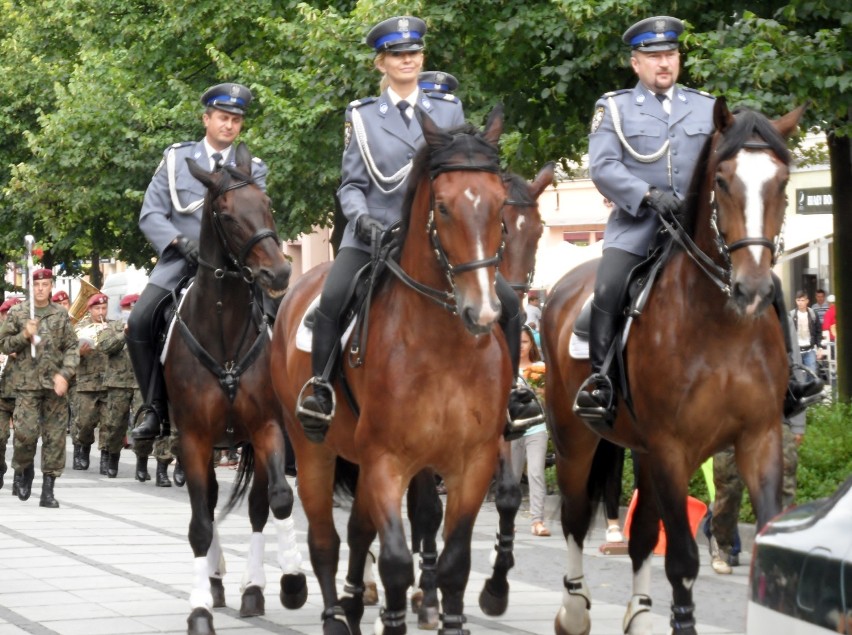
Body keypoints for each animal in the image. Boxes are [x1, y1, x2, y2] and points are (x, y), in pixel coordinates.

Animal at [163, 144, 306, 635]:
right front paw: (199, 609)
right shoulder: (192, 439)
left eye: (267, 202)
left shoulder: (266, 428)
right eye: (225, 214)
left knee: (258, 506)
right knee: (205, 505)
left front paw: (292, 579)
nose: (278, 272)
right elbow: (199, 525)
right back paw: (215, 580)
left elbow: (278, 500)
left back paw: (252, 588)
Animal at [272, 109, 512, 635]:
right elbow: (398, 560)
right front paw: (396, 615)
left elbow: (455, 561)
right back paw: (335, 615)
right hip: (313, 450)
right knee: (325, 540)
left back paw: (354, 603)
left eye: (502, 202)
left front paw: (449, 616)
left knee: (359, 531)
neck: (444, 348)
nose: (483, 312)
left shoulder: (473, 462)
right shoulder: (387, 461)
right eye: (443, 207)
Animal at [544, 100, 804, 635]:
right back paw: (575, 610)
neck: (721, 325)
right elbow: (682, 559)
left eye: (782, 180)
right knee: (576, 518)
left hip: (640, 452)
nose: (753, 289)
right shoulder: (671, 449)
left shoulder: (760, 436)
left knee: (642, 534)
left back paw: (640, 615)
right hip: (574, 439)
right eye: (722, 179)